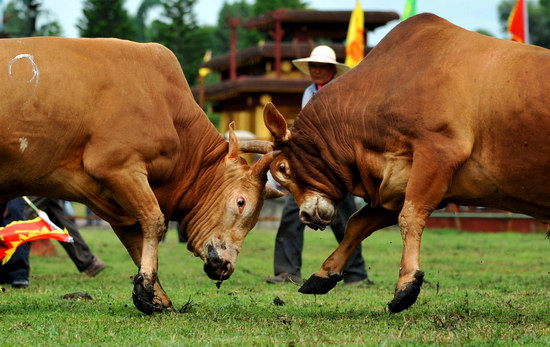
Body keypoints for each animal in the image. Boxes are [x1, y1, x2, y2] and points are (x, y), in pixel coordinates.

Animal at [246, 13, 550, 314]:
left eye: (282, 169)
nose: (307, 216)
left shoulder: (437, 155)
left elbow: (410, 216)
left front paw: (406, 285)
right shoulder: (395, 181)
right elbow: (357, 223)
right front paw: (323, 273)